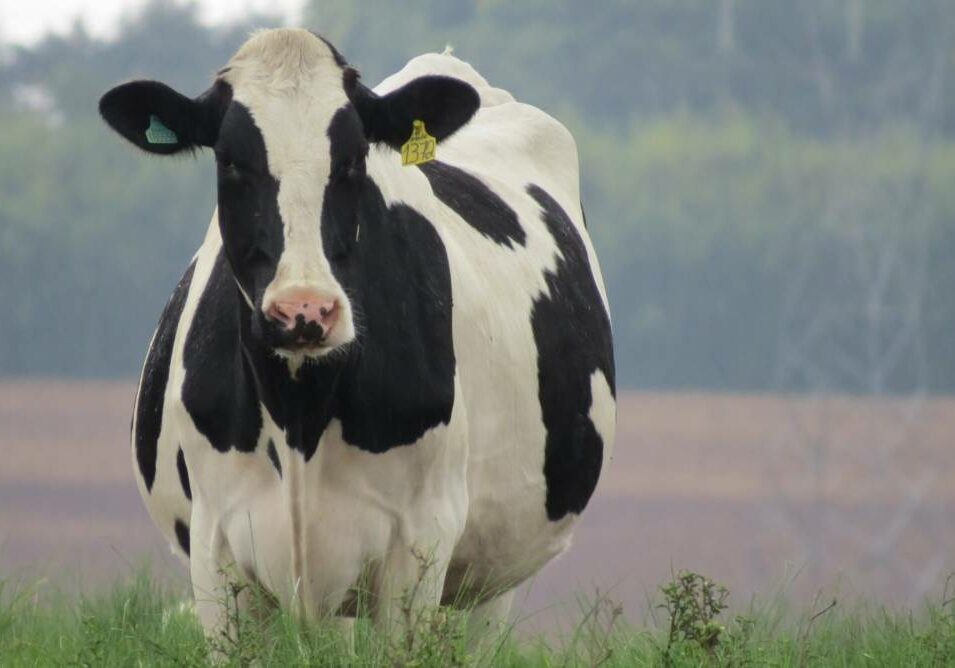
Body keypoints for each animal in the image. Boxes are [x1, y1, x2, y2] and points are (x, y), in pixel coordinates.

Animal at [99, 28, 615, 640]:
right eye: (229, 162)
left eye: (351, 160)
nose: (304, 310)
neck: (299, 411)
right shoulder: (214, 546)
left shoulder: (422, 539)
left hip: (493, 573)